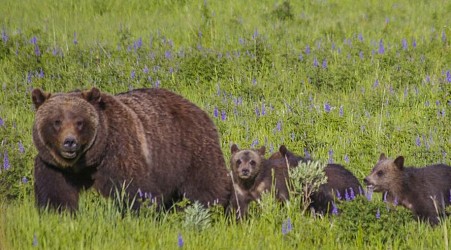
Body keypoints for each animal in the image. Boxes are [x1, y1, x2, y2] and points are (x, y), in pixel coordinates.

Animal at [30, 87, 233, 212]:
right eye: (57, 121)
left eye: (80, 122)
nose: (69, 142)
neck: (86, 162)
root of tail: (197, 108)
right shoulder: (53, 167)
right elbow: (56, 195)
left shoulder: (119, 152)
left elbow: (135, 189)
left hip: (191, 151)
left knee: (205, 186)